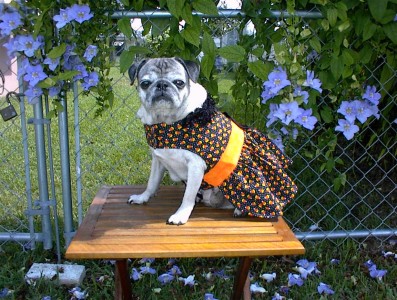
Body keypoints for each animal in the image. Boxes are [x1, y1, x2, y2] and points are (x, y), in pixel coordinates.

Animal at [127, 56, 296, 225]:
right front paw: (143, 197)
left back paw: (239, 209)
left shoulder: (195, 166)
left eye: (179, 82)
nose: (162, 85)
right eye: (145, 83)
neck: (167, 122)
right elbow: (152, 183)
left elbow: (187, 197)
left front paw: (181, 214)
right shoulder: (158, 160)